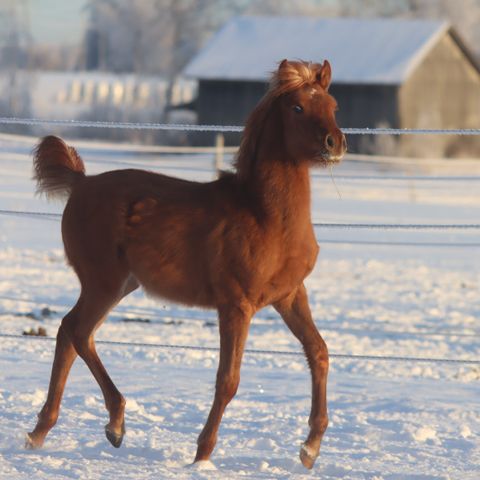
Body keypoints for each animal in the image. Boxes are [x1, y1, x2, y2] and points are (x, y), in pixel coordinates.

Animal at [25, 58, 344, 466]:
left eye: (332, 106)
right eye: (298, 107)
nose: (335, 144)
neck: (265, 216)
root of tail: (80, 183)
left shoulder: (289, 295)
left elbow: (319, 353)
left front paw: (310, 447)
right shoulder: (236, 305)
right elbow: (228, 380)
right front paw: (202, 454)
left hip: (121, 284)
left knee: (70, 333)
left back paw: (45, 432)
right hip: (103, 282)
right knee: (77, 331)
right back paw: (112, 423)